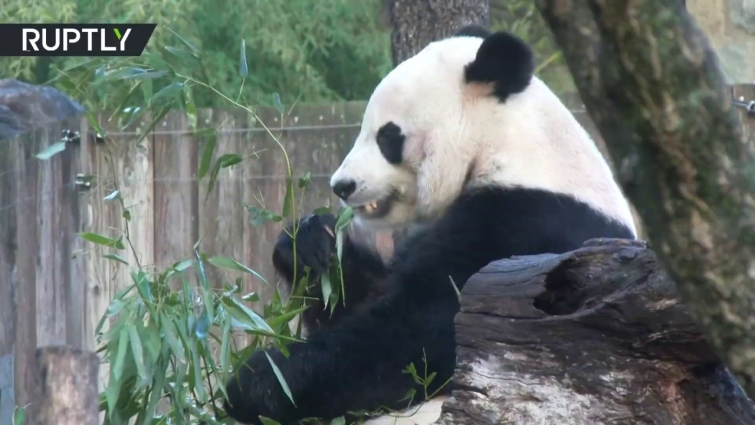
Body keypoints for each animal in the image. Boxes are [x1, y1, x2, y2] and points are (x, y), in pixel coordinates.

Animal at [223, 25, 637, 425]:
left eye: (388, 135)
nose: (342, 186)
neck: (507, 148)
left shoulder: (528, 226)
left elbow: (424, 332)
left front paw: (256, 381)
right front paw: (310, 242)